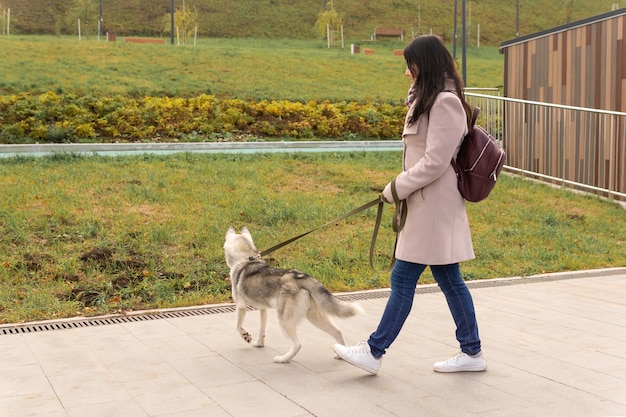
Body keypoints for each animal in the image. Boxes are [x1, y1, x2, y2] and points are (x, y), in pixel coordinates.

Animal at [223, 228, 360, 360]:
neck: (246, 259)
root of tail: (301, 277)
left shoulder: (241, 306)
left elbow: (238, 327)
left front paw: (246, 336)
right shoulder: (263, 309)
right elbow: (262, 329)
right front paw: (259, 343)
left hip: (284, 320)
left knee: (297, 344)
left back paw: (283, 359)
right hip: (315, 317)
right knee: (338, 331)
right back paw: (341, 355)